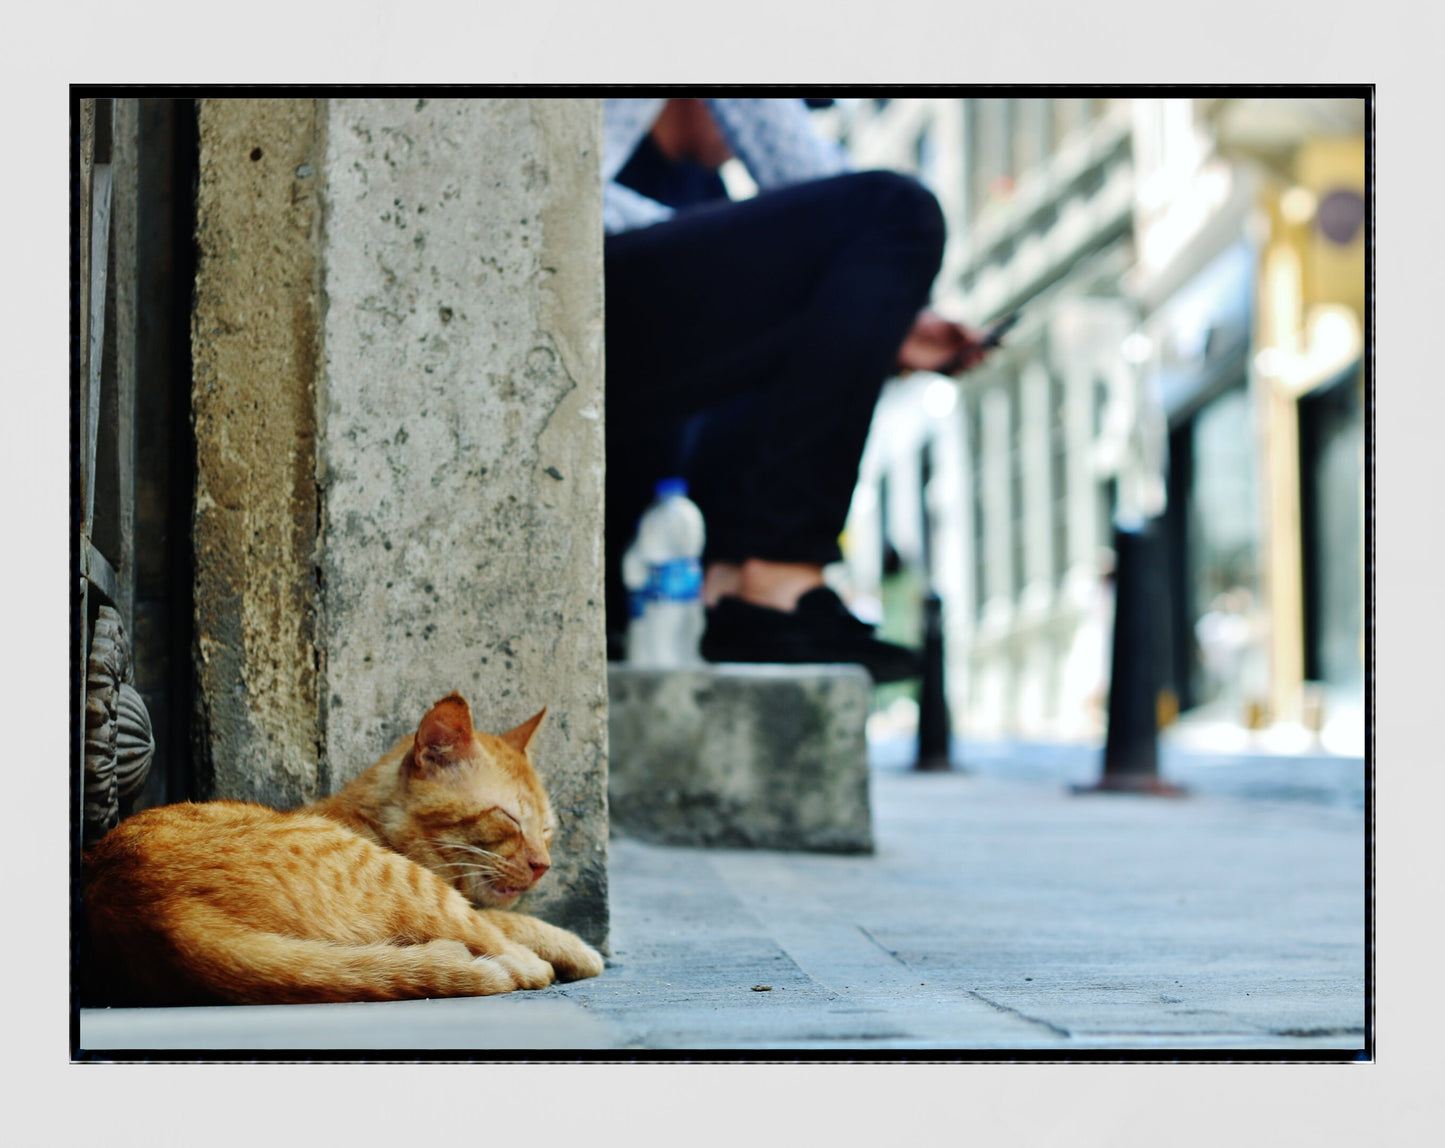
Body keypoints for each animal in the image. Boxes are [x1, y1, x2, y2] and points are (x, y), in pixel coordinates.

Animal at [82, 688, 601, 1000]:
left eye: (547, 830)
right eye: (510, 817)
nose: (543, 864)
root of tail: (156, 913)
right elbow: (506, 919)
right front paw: (574, 946)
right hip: (404, 882)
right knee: (491, 940)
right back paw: (531, 964)